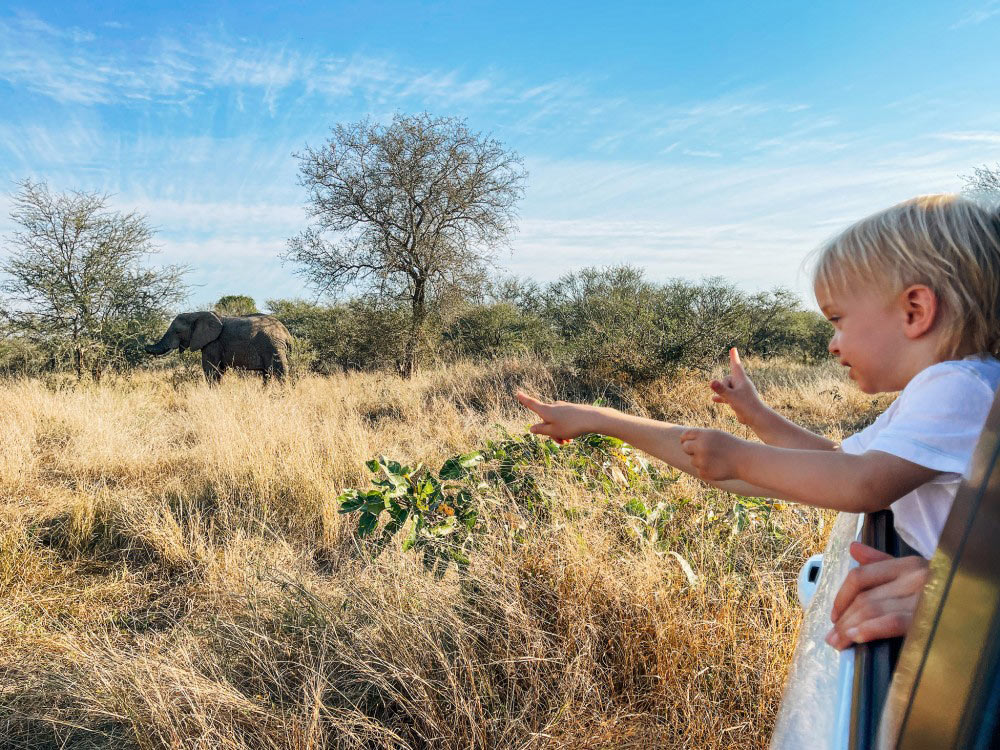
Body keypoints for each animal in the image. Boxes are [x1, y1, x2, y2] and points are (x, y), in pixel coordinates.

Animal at [145, 310, 292, 382]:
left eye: (177, 331)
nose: (145, 345)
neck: (196, 314)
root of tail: (286, 333)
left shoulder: (213, 343)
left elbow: (210, 369)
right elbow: (219, 370)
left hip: (274, 346)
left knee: (280, 373)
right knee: (267, 374)